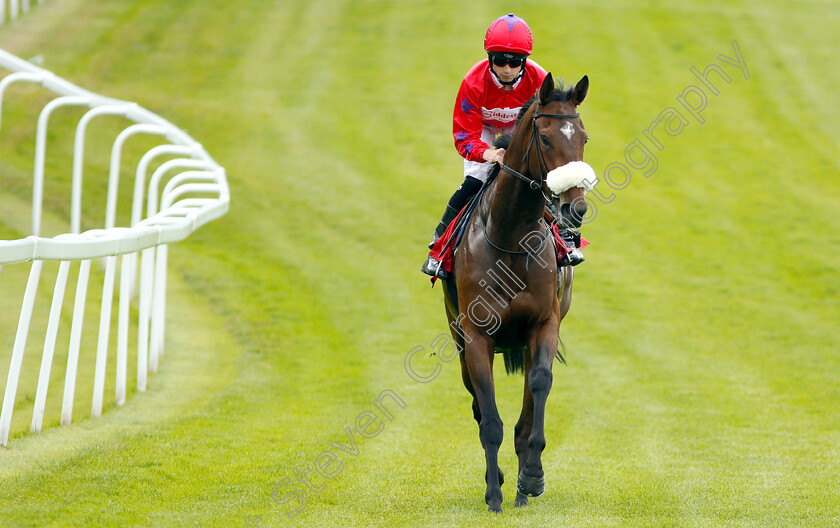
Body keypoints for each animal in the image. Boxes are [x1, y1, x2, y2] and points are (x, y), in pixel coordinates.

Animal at [442, 74, 592, 512]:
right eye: (544, 138)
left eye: (584, 137)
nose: (575, 208)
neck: (510, 237)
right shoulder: (476, 335)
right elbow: (488, 416)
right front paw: (495, 493)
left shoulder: (544, 324)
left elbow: (539, 387)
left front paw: (532, 476)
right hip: (458, 337)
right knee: (476, 403)